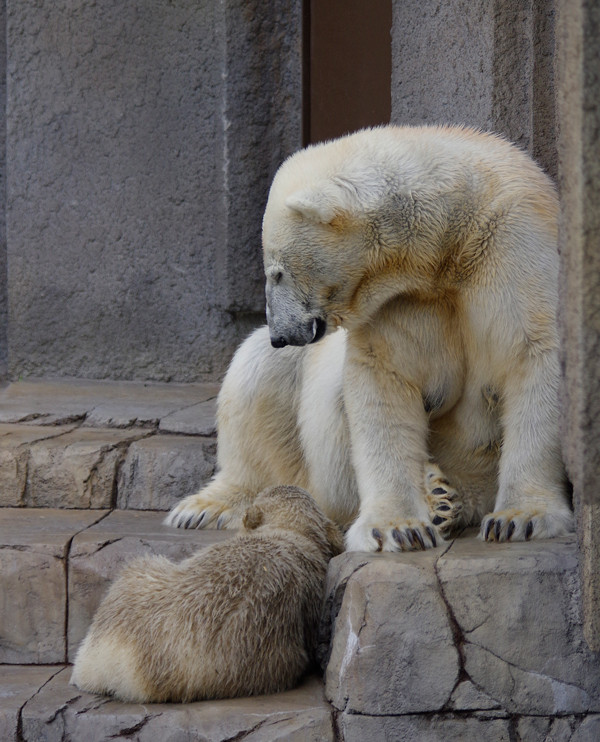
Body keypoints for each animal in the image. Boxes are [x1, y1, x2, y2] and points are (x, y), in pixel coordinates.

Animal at [166, 126, 576, 552]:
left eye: (276, 272)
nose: (282, 333)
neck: (452, 236)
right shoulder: (399, 302)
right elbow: (384, 378)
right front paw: (398, 528)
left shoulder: (514, 247)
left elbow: (535, 355)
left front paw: (520, 518)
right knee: (258, 373)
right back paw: (204, 506)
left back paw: (446, 499)